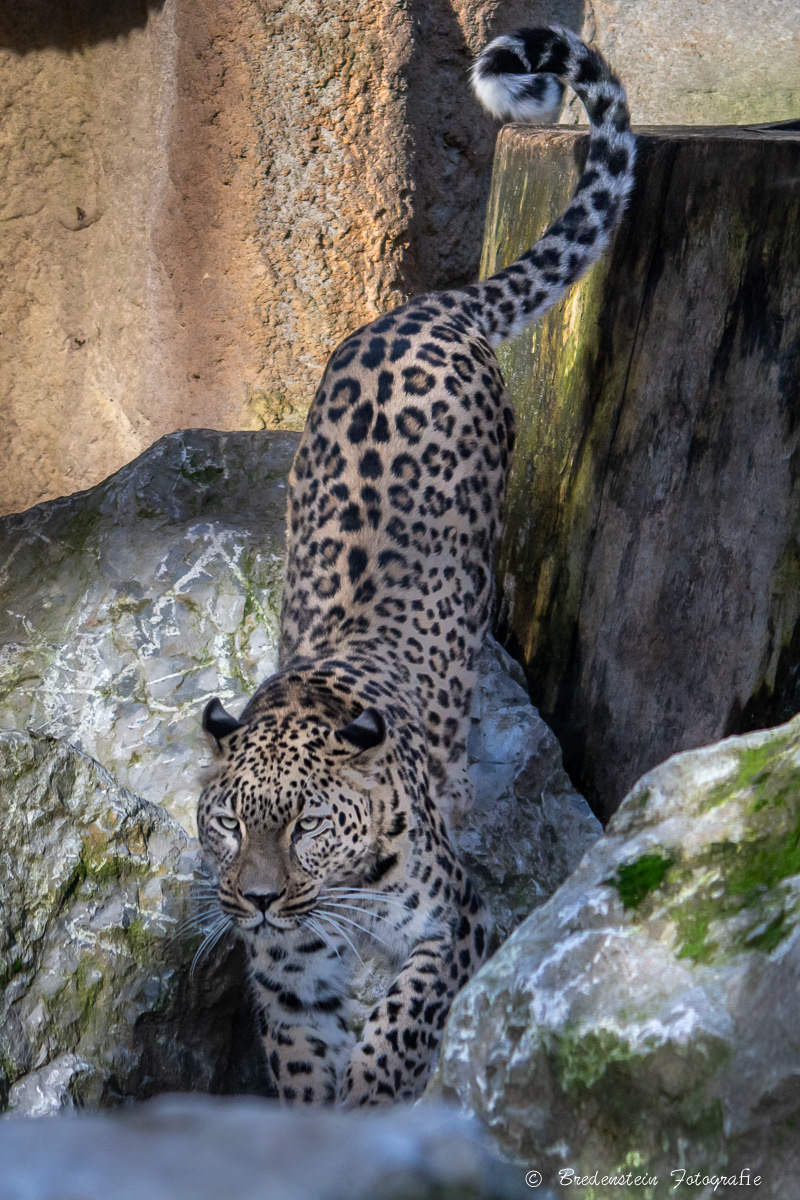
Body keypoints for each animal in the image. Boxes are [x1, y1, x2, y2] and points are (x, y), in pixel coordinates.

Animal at [196, 26, 636, 1107]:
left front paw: (376, 1093)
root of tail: (428, 308)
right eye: (226, 822)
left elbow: (403, 1018)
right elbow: (302, 1059)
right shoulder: (288, 978)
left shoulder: (455, 926)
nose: (255, 898)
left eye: (304, 825)